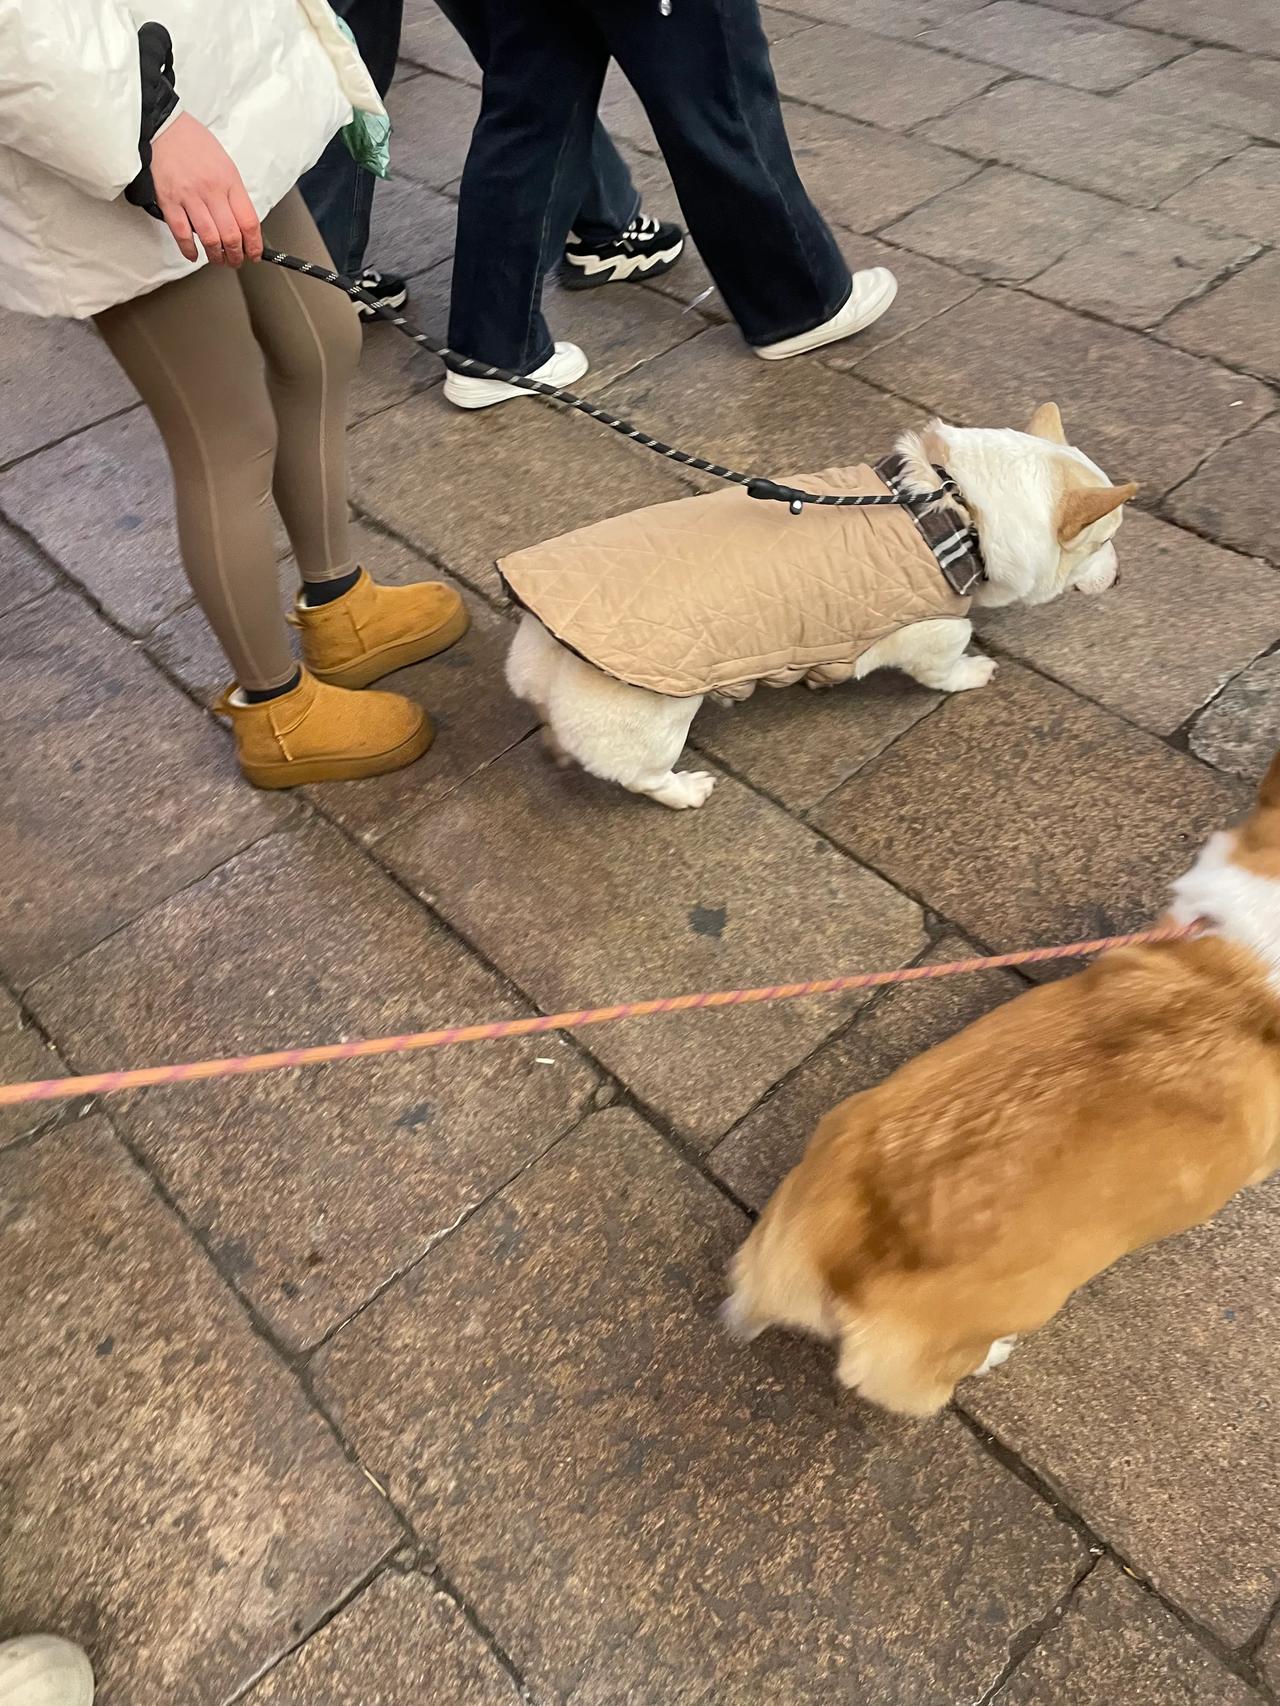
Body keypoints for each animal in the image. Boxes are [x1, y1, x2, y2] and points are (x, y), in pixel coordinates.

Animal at [498, 411, 1133, 812]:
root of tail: (547, 653)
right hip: (654, 727)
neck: (956, 505)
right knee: (645, 777)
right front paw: (976, 673)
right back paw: (687, 791)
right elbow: (945, 669)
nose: (1123, 577)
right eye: (1104, 542)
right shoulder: (935, 630)